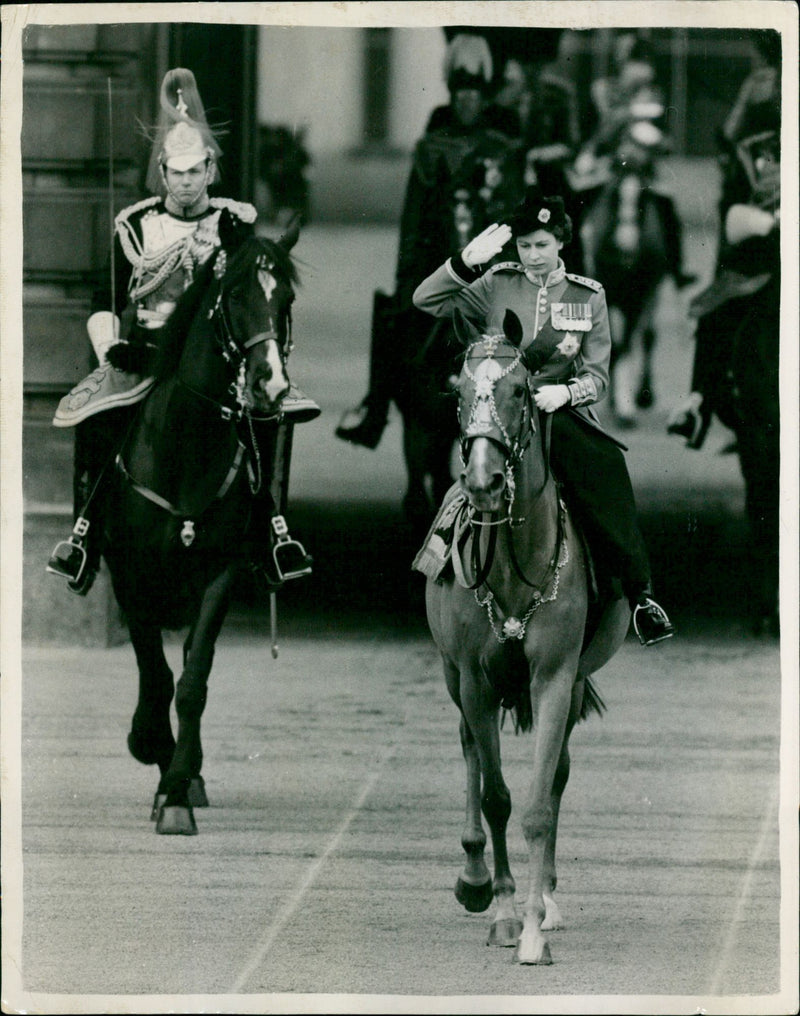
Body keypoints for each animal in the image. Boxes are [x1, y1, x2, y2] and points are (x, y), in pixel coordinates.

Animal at [99, 228, 300, 833]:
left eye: (286, 299)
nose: (270, 384)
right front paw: (151, 747)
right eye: (233, 294)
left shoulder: (220, 573)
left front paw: (177, 790)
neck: (184, 448)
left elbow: (192, 680)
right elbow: (156, 677)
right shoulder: (131, 580)